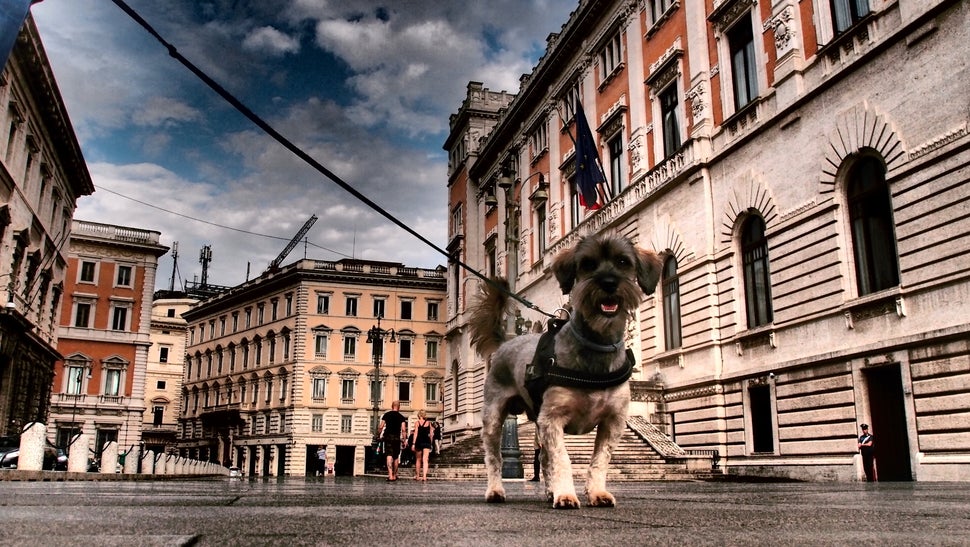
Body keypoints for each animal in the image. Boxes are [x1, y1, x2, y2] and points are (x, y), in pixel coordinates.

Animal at [466, 234, 660, 510]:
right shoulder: (553, 419)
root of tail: (506, 341)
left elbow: (599, 460)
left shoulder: (612, 422)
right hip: (494, 419)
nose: (608, 283)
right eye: (587, 264)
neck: (596, 345)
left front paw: (595, 492)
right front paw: (566, 494)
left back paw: (549, 491)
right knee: (495, 459)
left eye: (623, 262)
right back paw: (496, 490)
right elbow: (562, 460)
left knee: (544, 460)